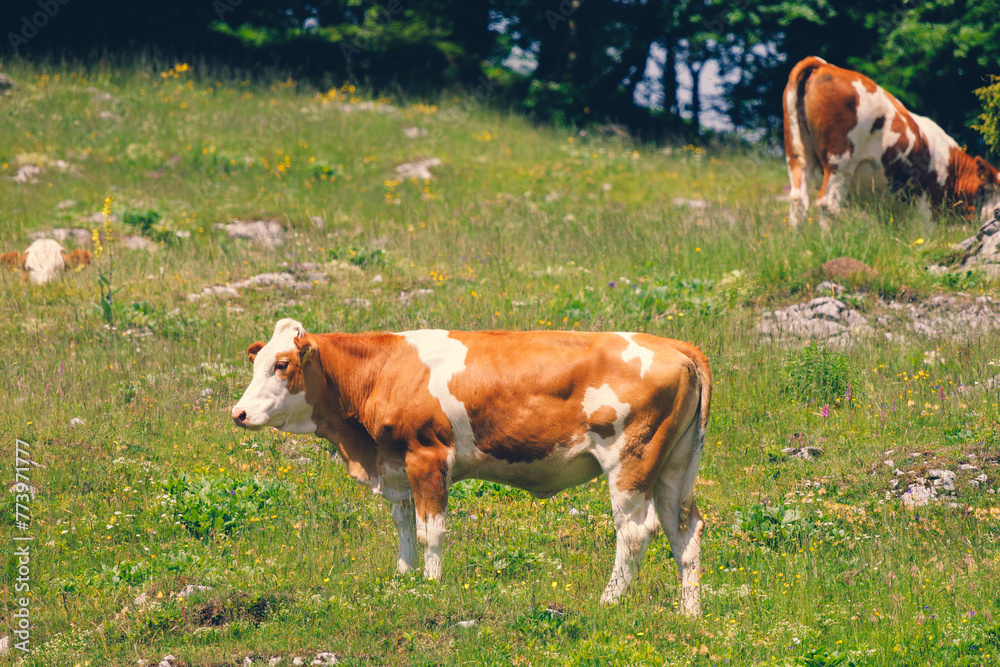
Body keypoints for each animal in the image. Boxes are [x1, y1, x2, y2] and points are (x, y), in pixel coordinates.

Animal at [229, 318, 712, 616]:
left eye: (282, 364)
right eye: (257, 363)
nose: (239, 413)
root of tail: (674, 345)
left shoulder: (427, 456)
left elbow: (431, 530)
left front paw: (430, 586)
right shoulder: (395, 464)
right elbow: (404, 525)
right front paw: (403, 577)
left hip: (631, 461)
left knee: (635, 531)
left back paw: (608, 601)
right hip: (673, 468)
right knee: (685, 530)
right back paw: (689, 611)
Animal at [780, 55, 1000, 227]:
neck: (949, 165)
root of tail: (824, 65)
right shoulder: (925, 203)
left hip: (797, 156)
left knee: (798, 201)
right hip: (839, 162)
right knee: (828, 205)